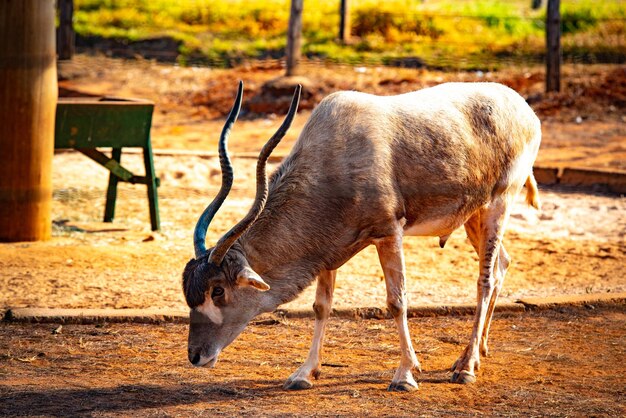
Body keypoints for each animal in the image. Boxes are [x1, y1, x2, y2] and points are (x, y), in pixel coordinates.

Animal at [183, 81, 540, 392]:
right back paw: (478, 354)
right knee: (501, 264)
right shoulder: (327, 248)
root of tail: (523, 108)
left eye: (218, 290)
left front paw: (405, 375)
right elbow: (321, 306)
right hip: (473, 215)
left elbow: (397, 301)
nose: (195, 356)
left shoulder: (388, 232)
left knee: (485, 279)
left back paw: (465, 368)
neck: (335, 154)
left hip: (498, 203)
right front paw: (304, 373)